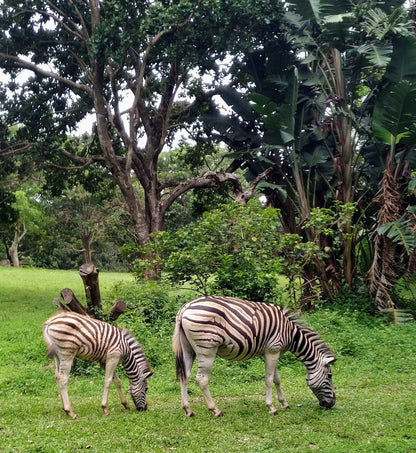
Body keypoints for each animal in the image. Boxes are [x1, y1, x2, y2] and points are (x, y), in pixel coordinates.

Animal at [171, 294, 336, 414]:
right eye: (329, 376)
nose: (332, 404)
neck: (291, 334)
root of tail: (185, 308)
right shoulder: (273, 350)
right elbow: (269, 379)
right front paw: (271, 407)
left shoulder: (271, 351)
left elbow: (276, 379)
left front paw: (284, 403)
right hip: (207, 349)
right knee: (202, 379)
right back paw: (215, 410)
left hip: (188, 348)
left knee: (184, 376)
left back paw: (188, 410)